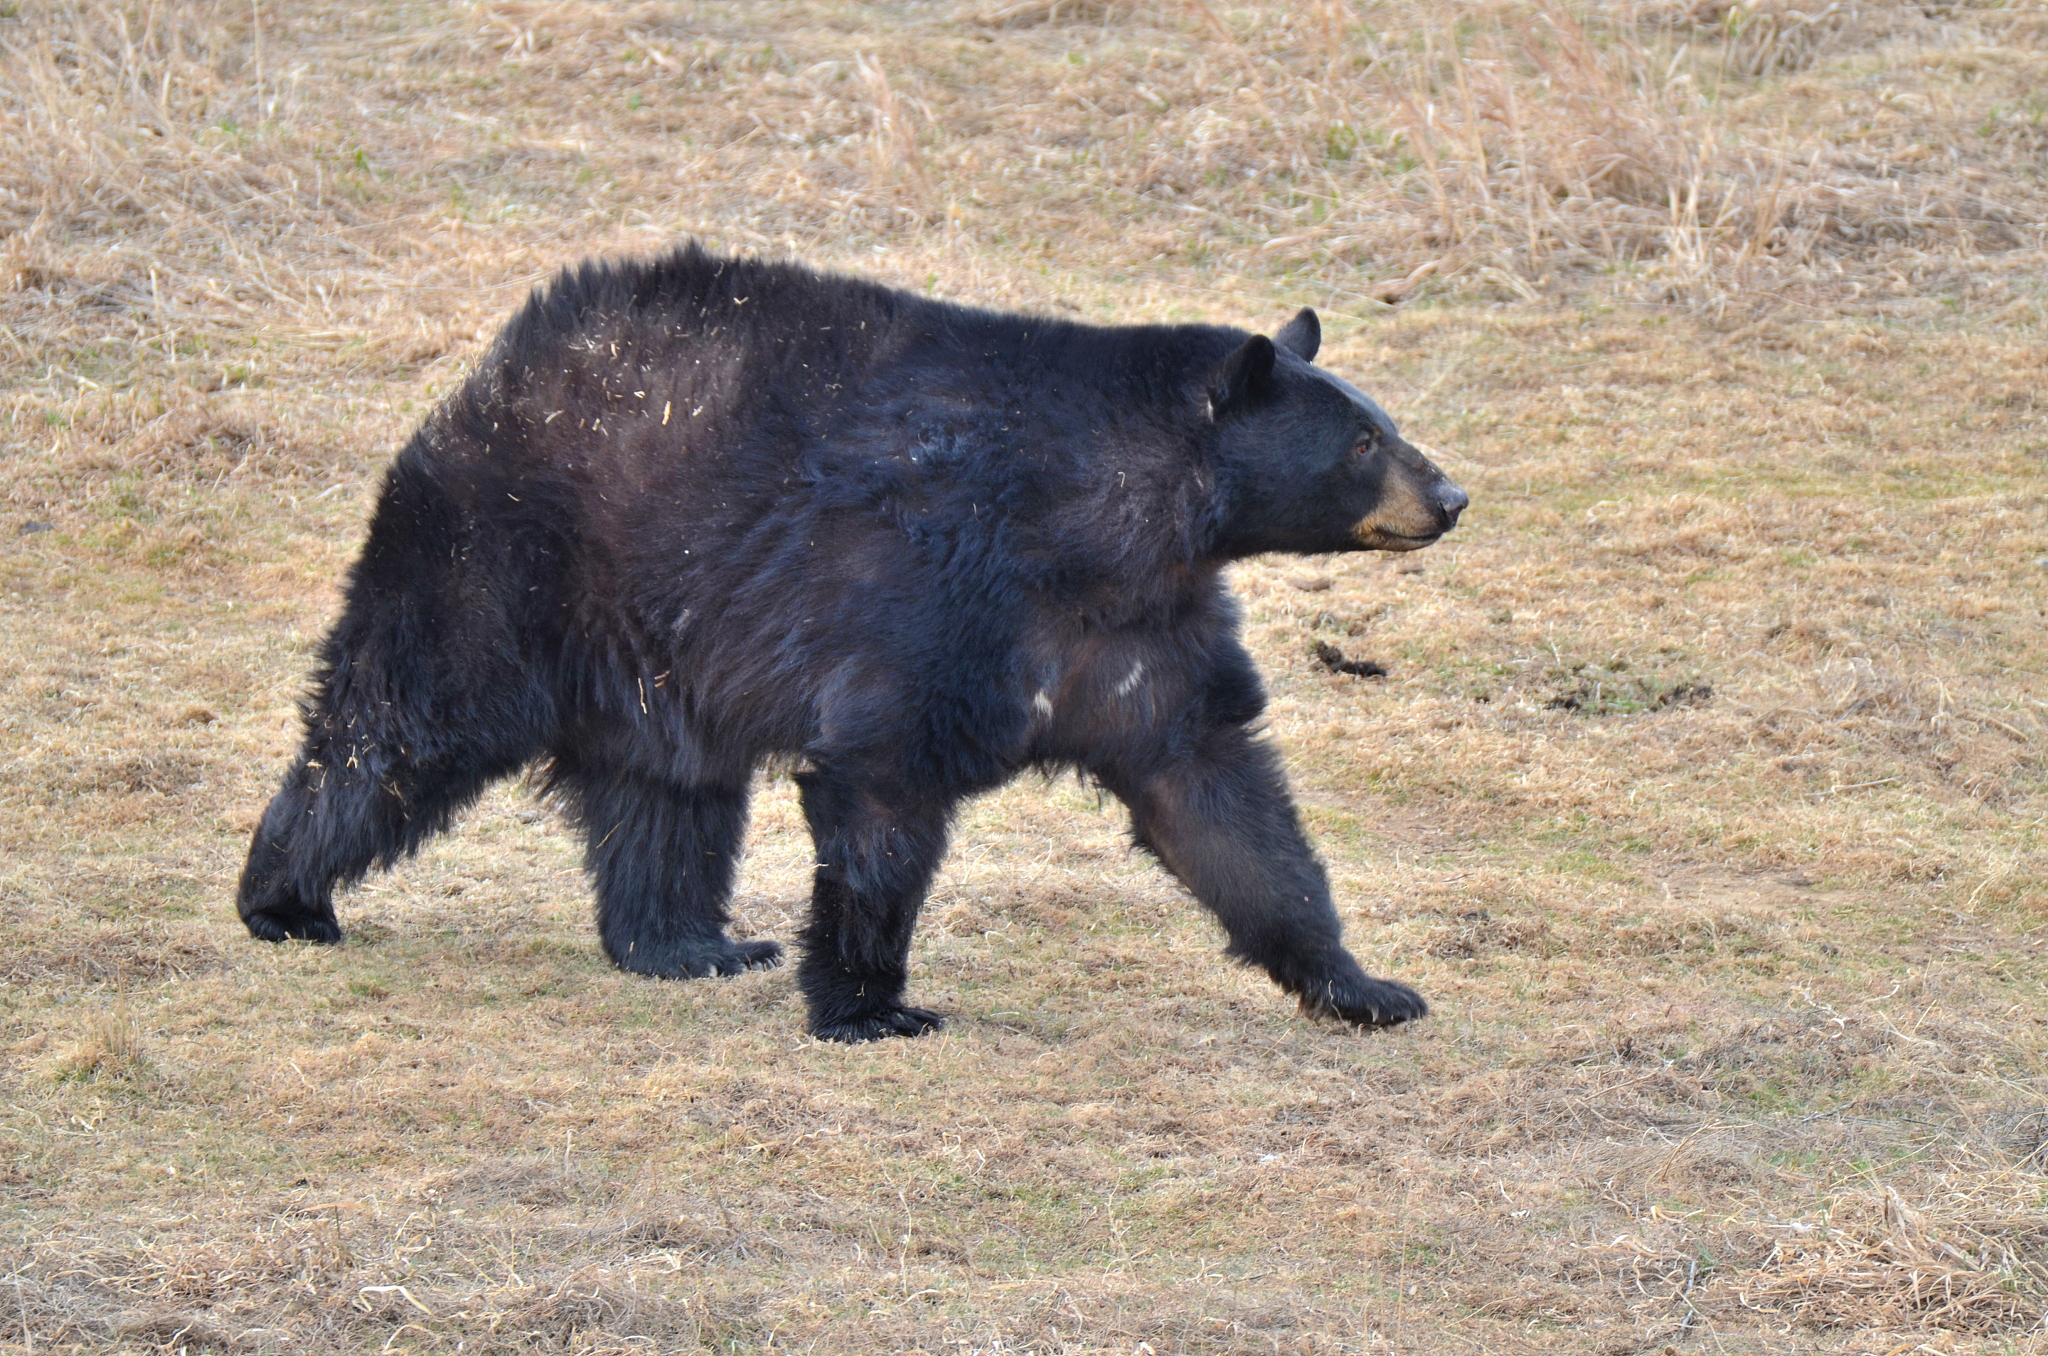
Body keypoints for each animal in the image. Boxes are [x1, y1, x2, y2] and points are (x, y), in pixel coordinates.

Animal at [236, 243, 1468, 1043]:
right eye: (1363, 442)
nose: (1451, 495)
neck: (1107, 528)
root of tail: (491, 374)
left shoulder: (1142, 634)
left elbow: (1219, 798)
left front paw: (1364, 986)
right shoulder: (938, 594)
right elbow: (880, 791)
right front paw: (871, 1006)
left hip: (656, 644)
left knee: (668, 791)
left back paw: (688, 944)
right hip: (503, 560)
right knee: (399, 725)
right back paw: (285, 897)